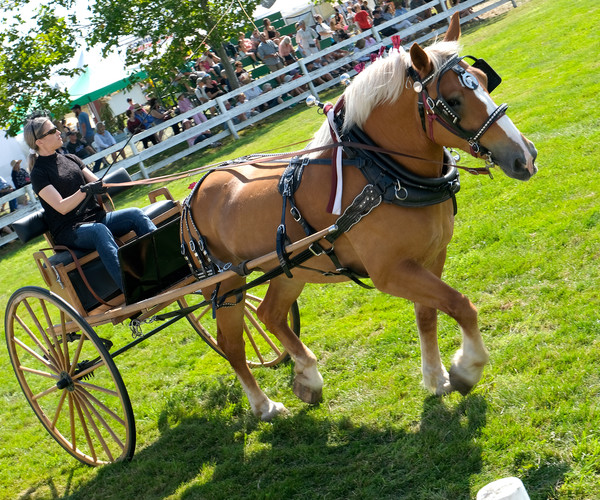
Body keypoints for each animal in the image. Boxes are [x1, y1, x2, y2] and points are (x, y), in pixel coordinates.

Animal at [182, 13, 536, 420]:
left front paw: (436, 378)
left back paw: (308, 376)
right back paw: (264, 404)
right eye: (453, 100)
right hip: (226, 288)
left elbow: (429, 314)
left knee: (271, 314)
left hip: (290, 269)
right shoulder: (390, 271)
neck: (382, 173)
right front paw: (467, 368)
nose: (525, 156)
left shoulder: (431, 256)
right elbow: (461, 305)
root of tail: (194, 190)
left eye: (483, 79)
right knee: (233, 345)